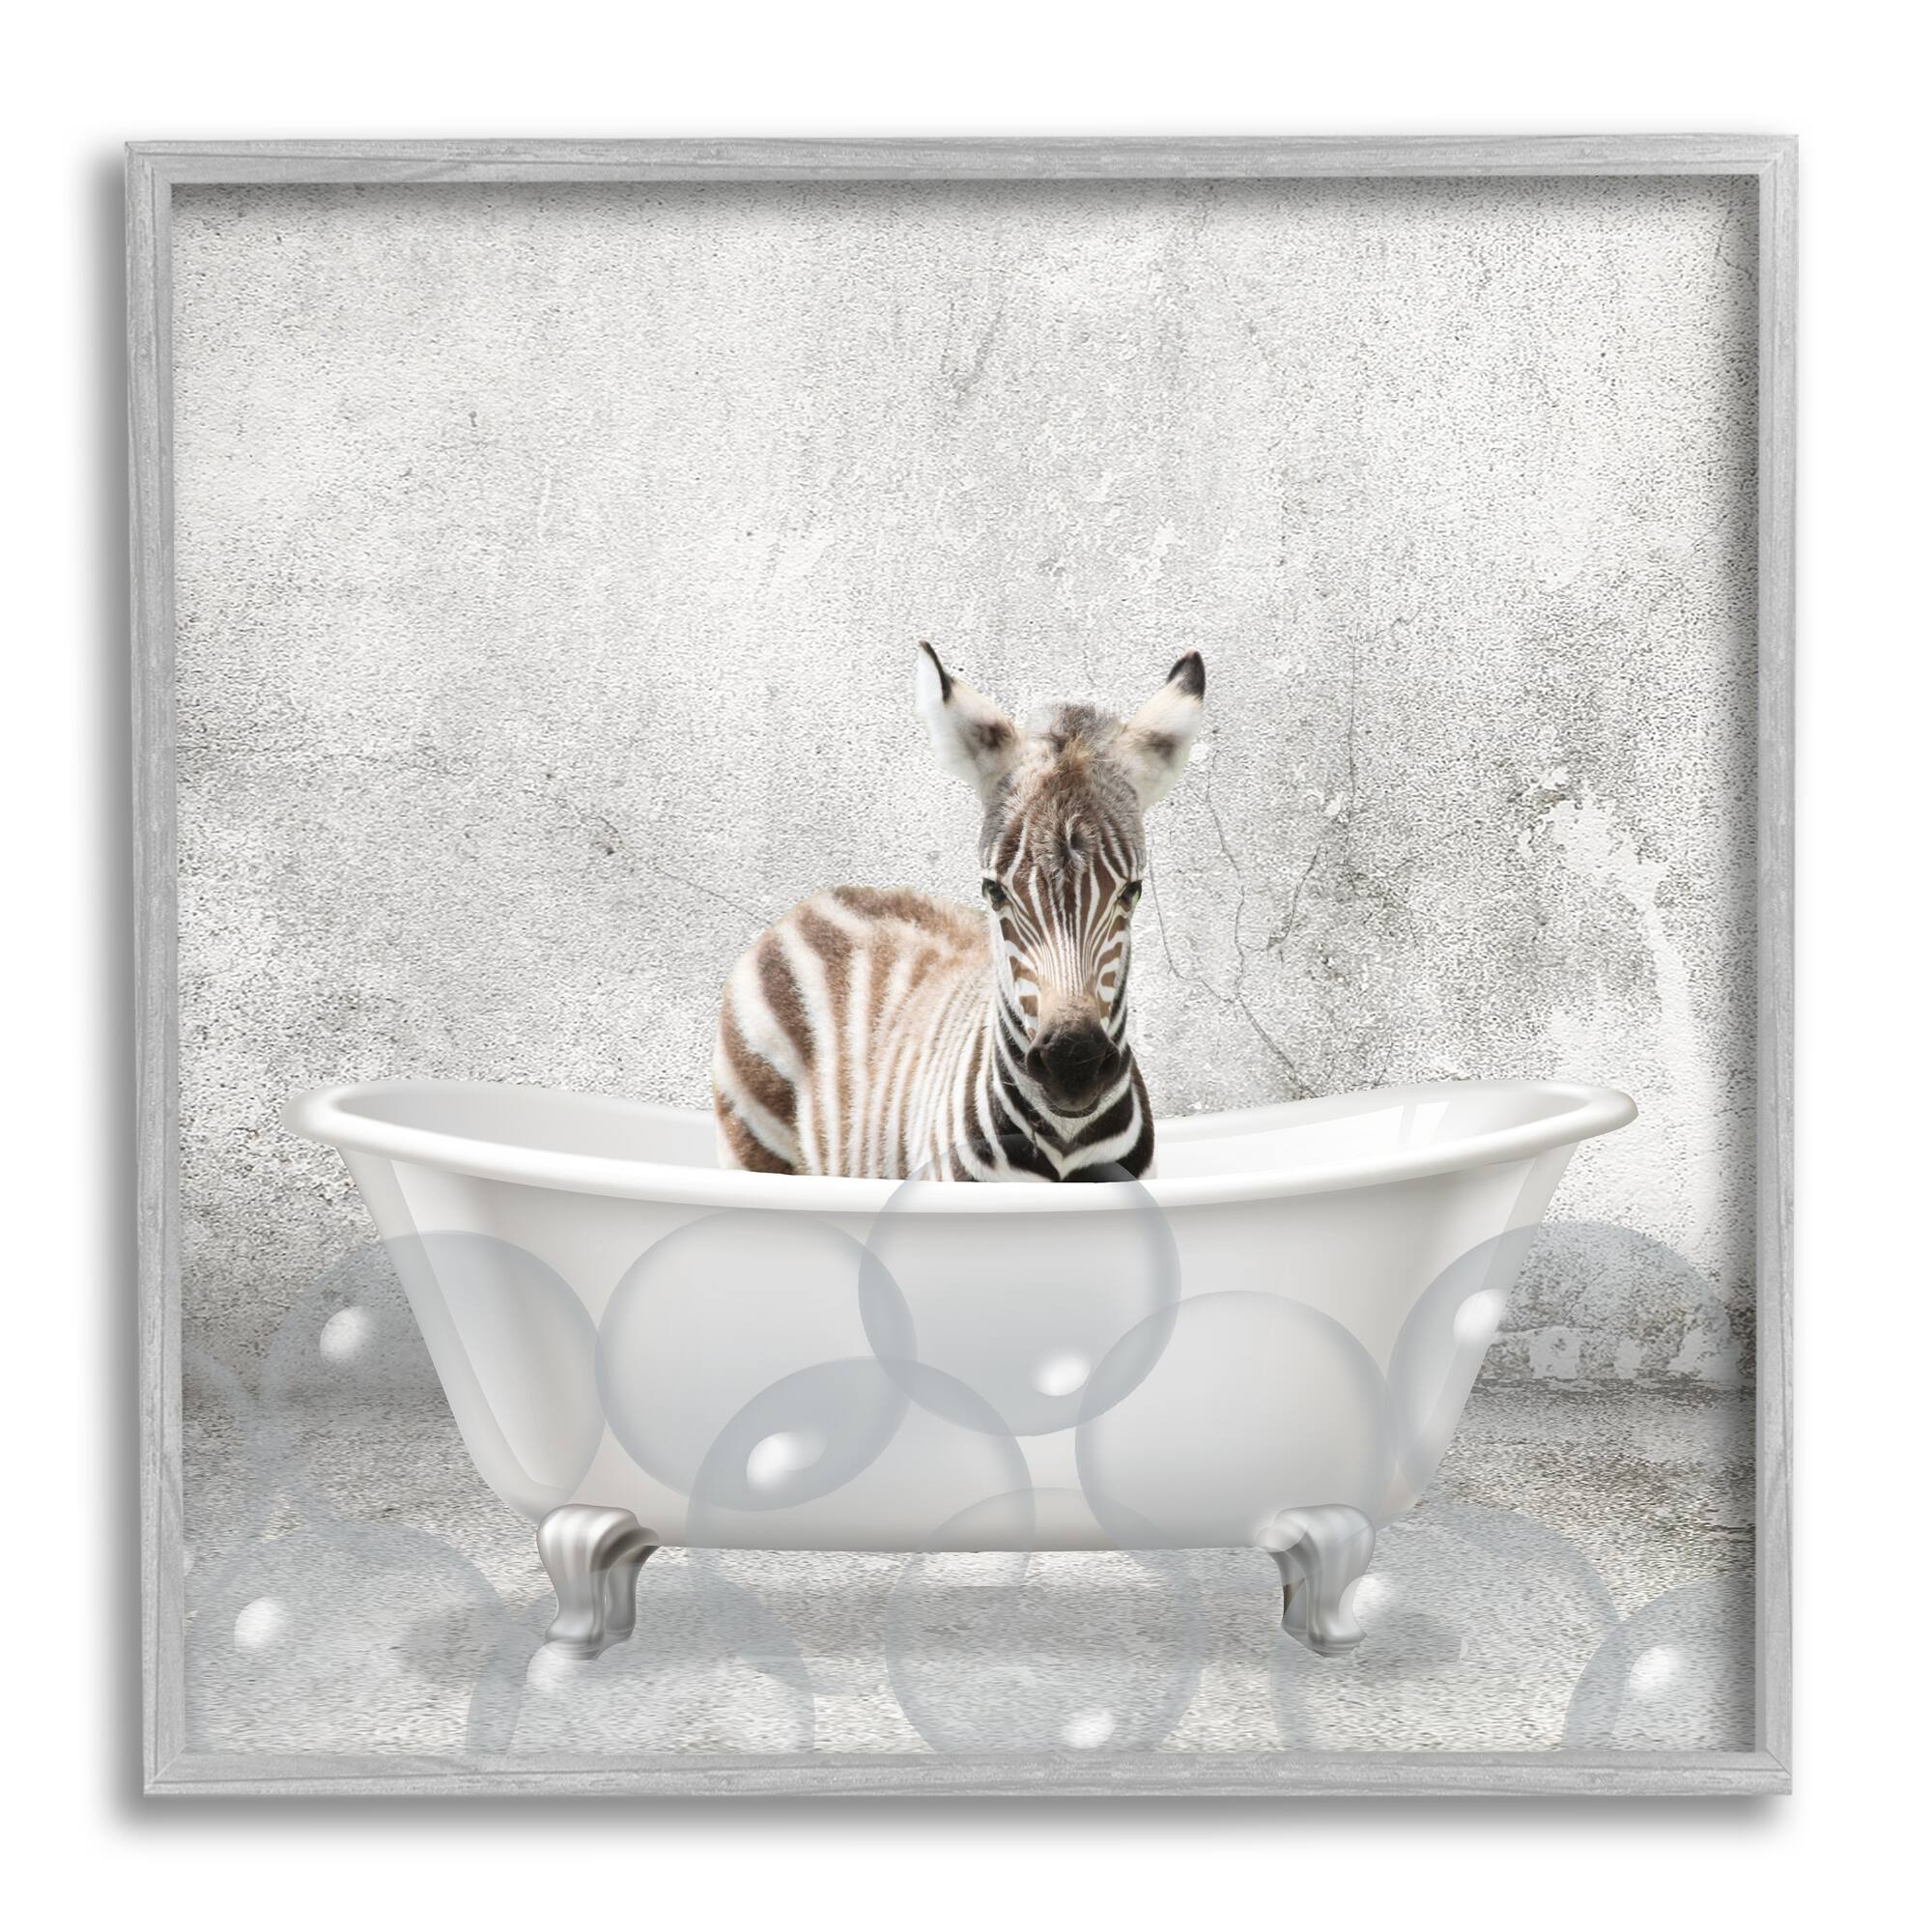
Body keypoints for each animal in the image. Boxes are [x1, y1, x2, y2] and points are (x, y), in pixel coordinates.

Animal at [711, 643, 1206, 1181]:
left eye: (1131, 892)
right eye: (994, 891)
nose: (1072, 1066)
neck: (1065, 1142)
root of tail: (818, 898)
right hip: (755, 1142)